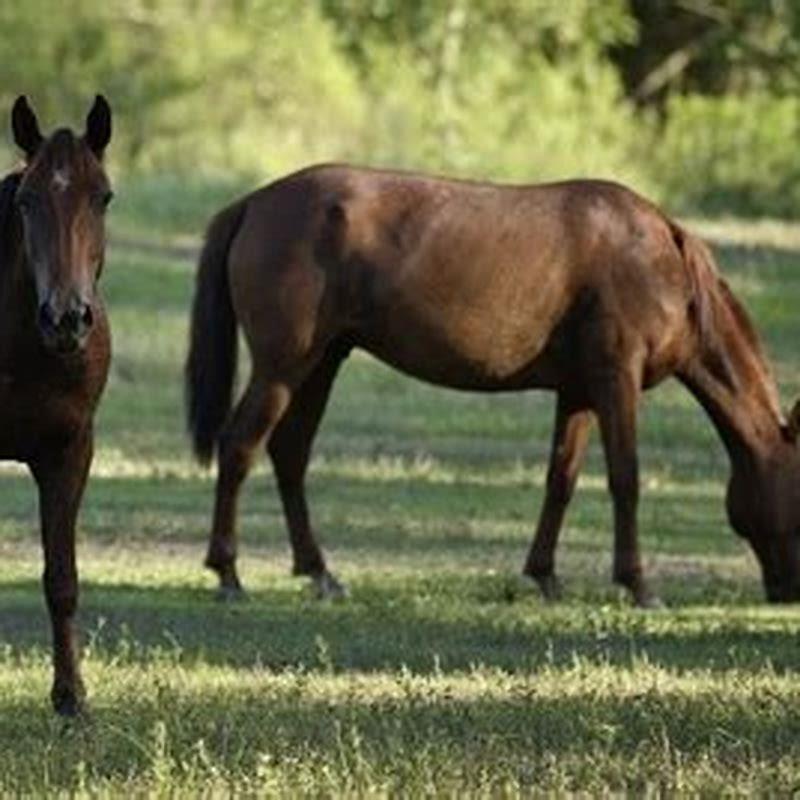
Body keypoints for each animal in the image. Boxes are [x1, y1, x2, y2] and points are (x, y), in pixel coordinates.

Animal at [186, 164, 800, 608]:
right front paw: (639, 584)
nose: (786, 593)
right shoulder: (615, 379)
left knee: (290, 454)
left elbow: (561, 480)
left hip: (321, 362)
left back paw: (319, 572)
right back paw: (229, 573)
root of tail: (253, 203)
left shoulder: (578, 392)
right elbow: (625, 478)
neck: (658, 261)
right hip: (283, 366)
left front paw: (546, 577)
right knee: (239, 446)